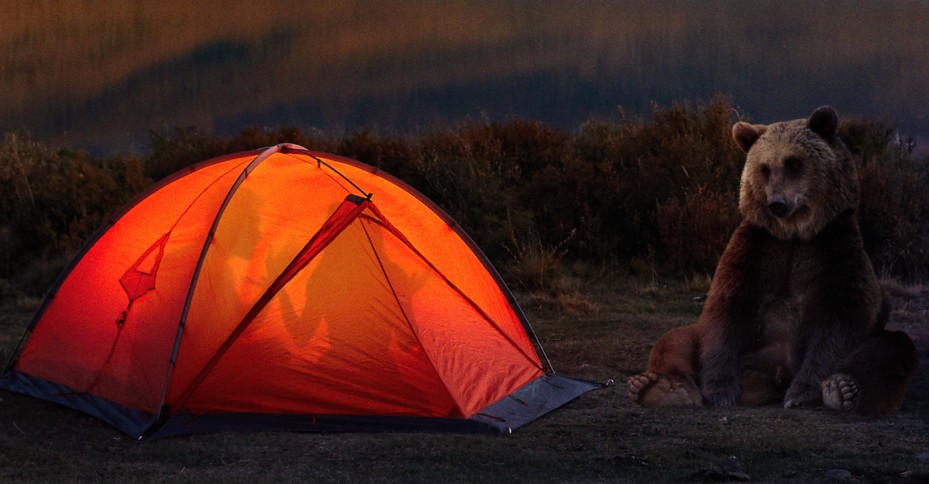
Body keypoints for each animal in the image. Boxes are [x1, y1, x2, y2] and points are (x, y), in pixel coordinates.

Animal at [627, 106, 918, 415]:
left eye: (794, 163)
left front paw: (804, 392)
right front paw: (720, 390)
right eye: (765, 167)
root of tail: (776, 372)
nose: (777, 203)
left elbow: (841, 317)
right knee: (677, 338)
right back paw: (659, 388)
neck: (793, 233)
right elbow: (726, 308)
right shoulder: (755, 248)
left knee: (893, 347)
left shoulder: (835, 248)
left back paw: (843, 389)